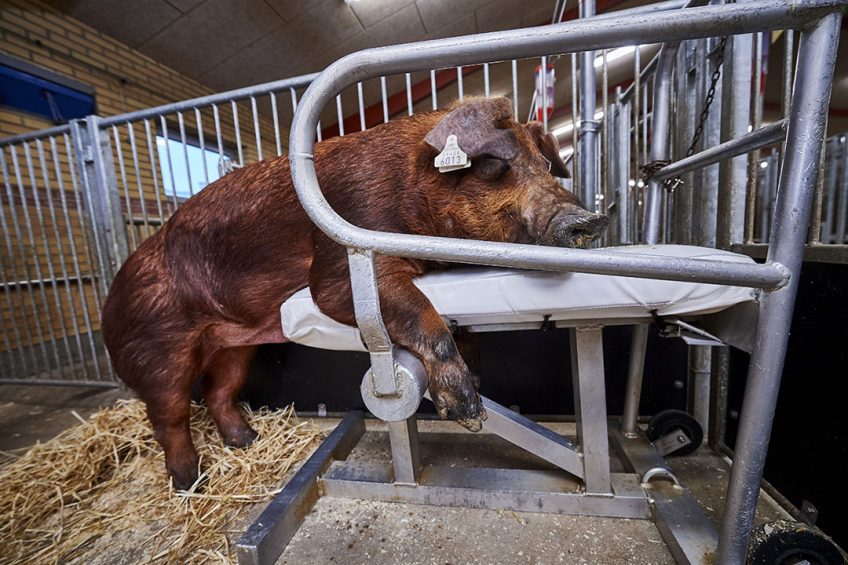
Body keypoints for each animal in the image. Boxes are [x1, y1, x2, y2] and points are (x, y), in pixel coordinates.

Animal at [102, 98, 608, 490]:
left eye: (546, 166)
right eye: (491, 166)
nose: (588, 220)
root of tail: (110, 300)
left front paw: (479, 377)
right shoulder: (342, 264)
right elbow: (422, 312)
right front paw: (468, 412)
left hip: (235, 348)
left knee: (218, 391)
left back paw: (247, 442)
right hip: (157, 349)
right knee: (168, 416)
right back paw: (191, 481)